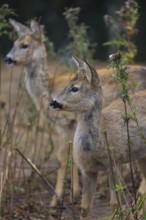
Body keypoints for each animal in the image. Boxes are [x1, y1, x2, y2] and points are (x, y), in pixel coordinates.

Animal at [50, 57, 146, 220]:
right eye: (67, 83)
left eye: (75, 88)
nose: (53, 102)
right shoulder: (87, 169)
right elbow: (84, 207)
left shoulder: (115, 162)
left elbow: (115, 204)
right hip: (141, 156)